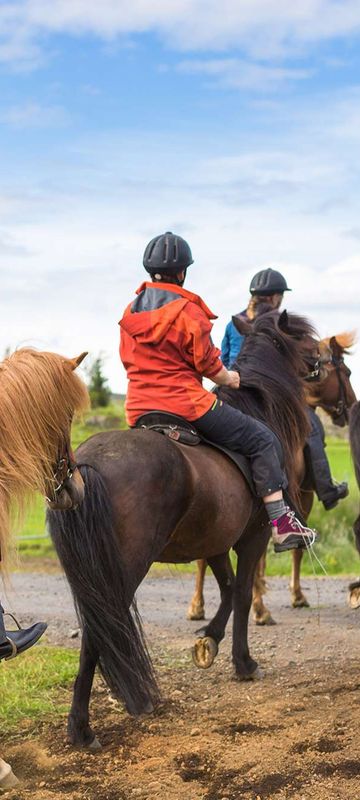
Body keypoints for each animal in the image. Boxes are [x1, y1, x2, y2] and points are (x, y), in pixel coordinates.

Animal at [47, 308, 316, 752]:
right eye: (304, 340)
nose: (321, 363)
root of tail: (84, 466)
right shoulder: (253, 538)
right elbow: (244, 594)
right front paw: (244, 662)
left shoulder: (216, 542)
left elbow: (228, 590)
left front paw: (209, 639)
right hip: (122, 570)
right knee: (101, 629)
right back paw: (84, 727)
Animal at [188, 332, 358, 624]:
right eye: (346, 372)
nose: (349, 407)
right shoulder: (302, 495)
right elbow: (295, 548)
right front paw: (290, 597)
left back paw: (197, 606)